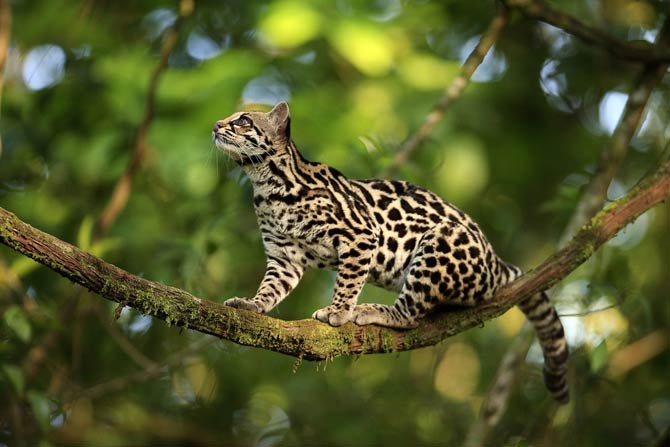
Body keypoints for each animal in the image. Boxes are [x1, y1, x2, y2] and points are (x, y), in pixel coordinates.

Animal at [213, 101, 568, 402]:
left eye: (243, 121)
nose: (216, 125)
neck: (267, 184)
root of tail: (496, 263)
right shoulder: (283, 257)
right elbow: (270, 289)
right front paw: (251, 304)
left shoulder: (360, 235)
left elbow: (347, 282)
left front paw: (338, 310)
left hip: (438, 243)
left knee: (411, 313)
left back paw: (373, 310)